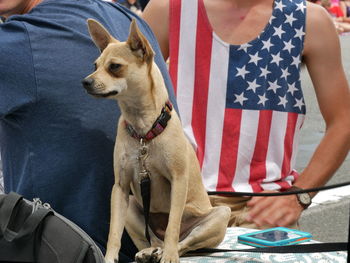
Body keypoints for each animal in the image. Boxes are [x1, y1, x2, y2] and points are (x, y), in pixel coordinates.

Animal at [81, 19, 230, 263]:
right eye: (95, 65)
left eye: (114, 67)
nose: (85, 81)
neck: (144, 132)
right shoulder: (120, 189)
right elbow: (114, 232)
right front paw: (109, 257)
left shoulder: (178, 181)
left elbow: (173, 227)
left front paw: (169, 256)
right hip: (132, 207)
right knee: (150, 239)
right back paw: (149, 252)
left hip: (219, 215)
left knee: (182, 241)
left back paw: (165, 251)